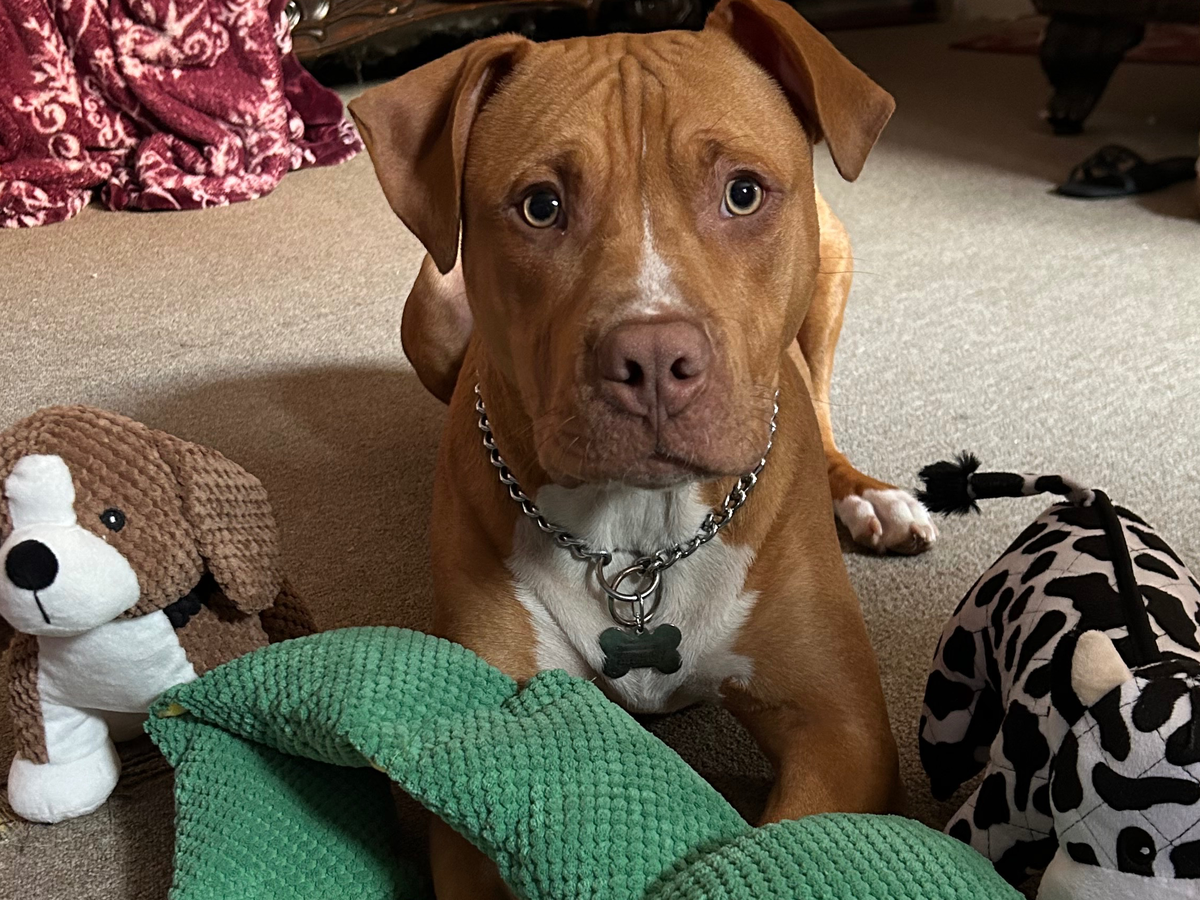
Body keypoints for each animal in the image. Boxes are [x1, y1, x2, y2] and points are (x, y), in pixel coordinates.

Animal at [350, 0, 934, 894]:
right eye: (541, 206)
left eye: (742, 192)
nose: (655, 359)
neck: (641, 539)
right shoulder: (488, 736)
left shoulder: (842, 731)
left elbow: (783, 846)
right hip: (430, 310)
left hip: (834, 261)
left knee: (822, 397)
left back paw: (868, 494)